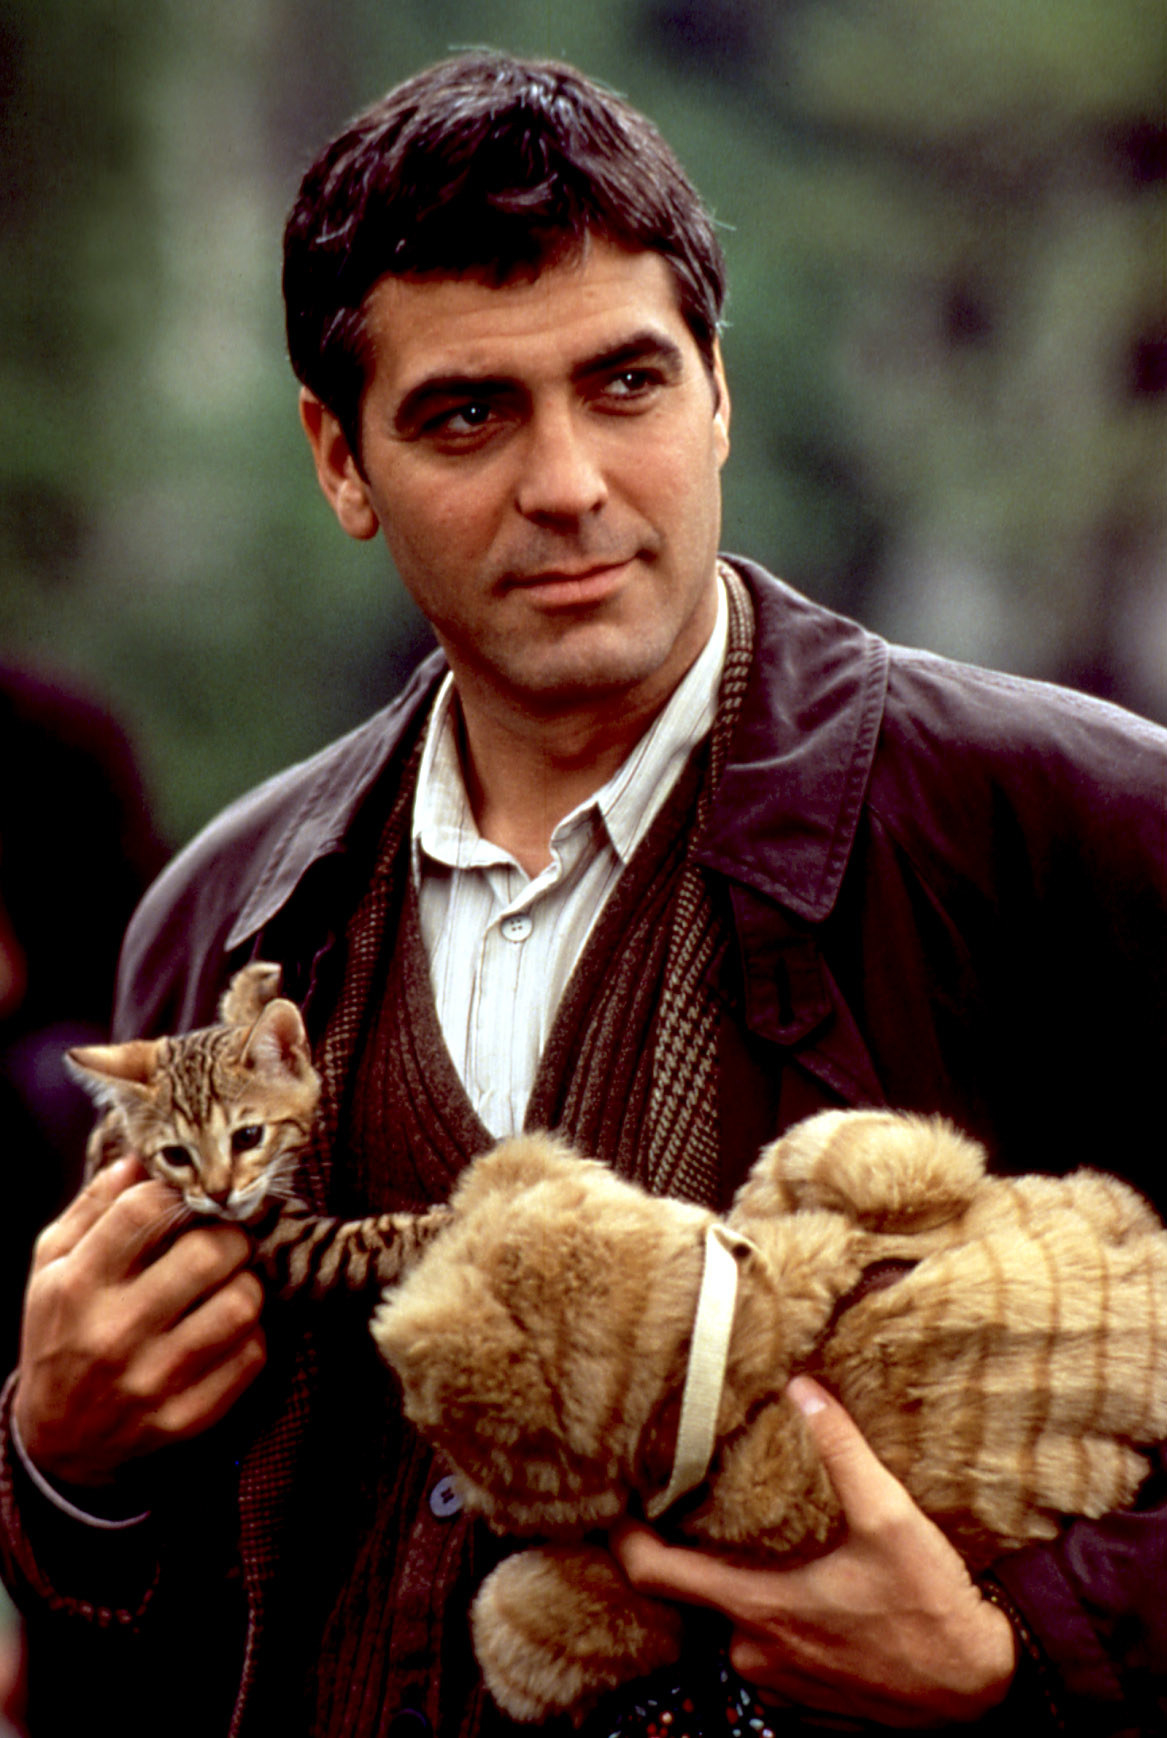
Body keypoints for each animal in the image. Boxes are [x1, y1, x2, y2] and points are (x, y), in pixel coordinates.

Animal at [67, 966, 448, 1306]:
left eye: (247, 1137)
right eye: (176, 1156)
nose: (218, 1195)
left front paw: (250, 990)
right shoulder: (293, 1249)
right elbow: (369, 1244)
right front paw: (446, 1225)